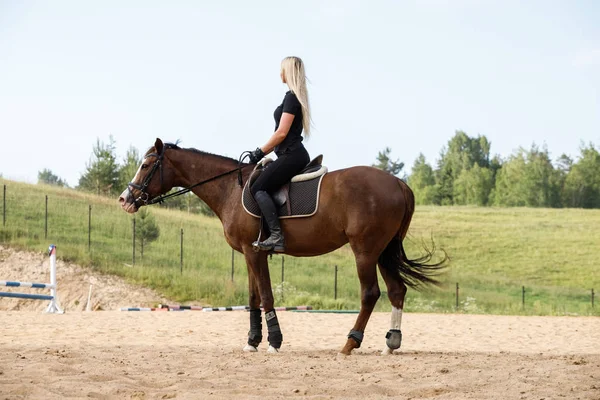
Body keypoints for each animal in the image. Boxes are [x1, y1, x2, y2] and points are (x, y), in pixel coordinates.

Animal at [118, 139, 446, 354]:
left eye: (146, 165)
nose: (125, 199)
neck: (231, 189)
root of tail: (398, 183)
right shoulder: (251, 252)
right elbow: (252, 297)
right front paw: (252, 342)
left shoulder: (255, 252)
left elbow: (265, 296)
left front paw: (274, 342)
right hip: (384, 251)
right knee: (397, 291)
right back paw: (391, 343)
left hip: (365, 251)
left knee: (371, 293)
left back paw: (350, 343)